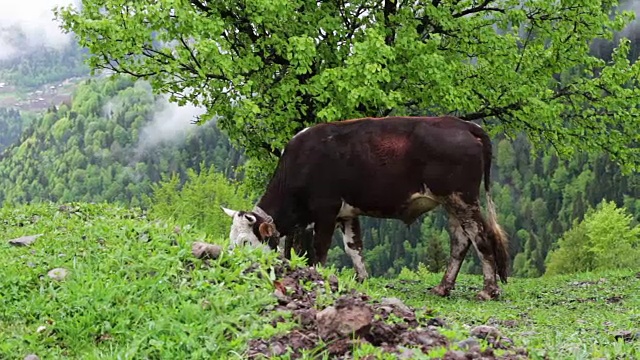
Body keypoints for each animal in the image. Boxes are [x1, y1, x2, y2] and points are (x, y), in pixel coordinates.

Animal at [220, 115, 510, 298]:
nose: (231, 266)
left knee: (481, 237)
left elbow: (320, 248)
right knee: (460, 241)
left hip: (462, 198)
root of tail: (462, 124)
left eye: (245, 242)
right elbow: (354, 247)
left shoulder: (326, 209)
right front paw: (361, 279)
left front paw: (319, 277)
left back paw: (488, 290)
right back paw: (443, 287)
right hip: (451, 202)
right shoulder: (347, 213)